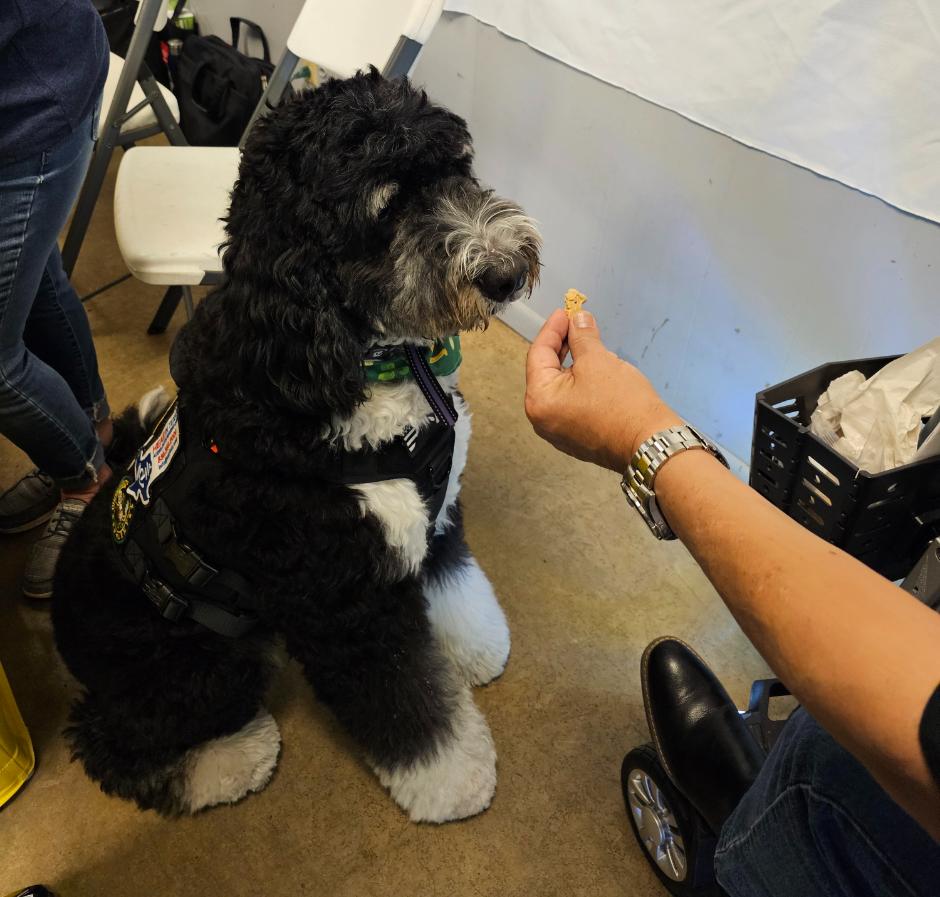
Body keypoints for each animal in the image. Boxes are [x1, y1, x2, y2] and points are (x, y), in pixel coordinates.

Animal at [51, 73, 540, 824]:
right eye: (386, 208)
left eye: (454, 169)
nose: (506, 274)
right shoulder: (345, 598)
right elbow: (407, 703)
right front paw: (455, 780)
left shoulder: (430, 516)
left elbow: (454, 583)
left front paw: (477, 649)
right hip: (200, 665)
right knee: (113, 743)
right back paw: (234, 758)